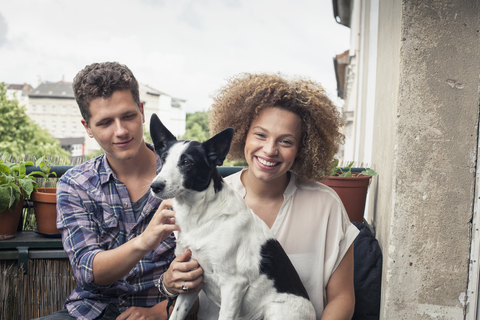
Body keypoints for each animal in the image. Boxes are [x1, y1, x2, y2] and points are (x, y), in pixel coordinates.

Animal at [148, 115, 316, 320]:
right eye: (163, 159)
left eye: (187, 162)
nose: (155, 186)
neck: (200, 217)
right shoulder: (192, 279)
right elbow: (177, 314)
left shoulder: (233, 285)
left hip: (274, 310)